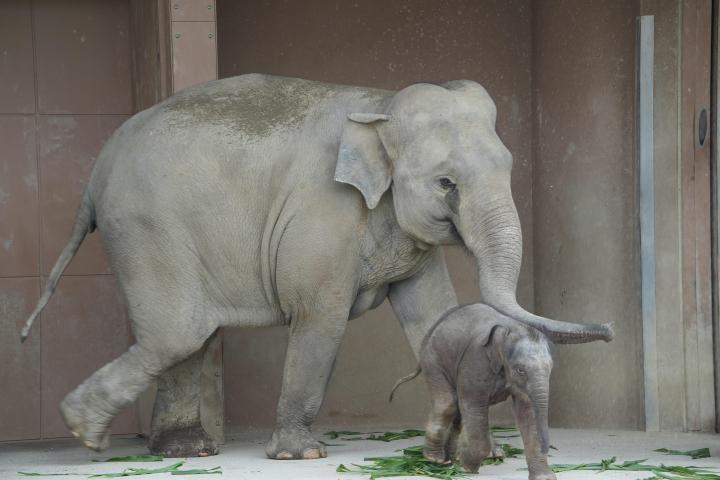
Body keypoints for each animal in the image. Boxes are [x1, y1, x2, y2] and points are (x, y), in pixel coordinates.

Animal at [390, 306, 612, 478]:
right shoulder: (476, 361)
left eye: (550, 368)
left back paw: (450, 461)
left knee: (457, 411)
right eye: (520, 370)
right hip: (434, 360)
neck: (510, 329)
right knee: (448, 404)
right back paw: (435, 460)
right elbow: (474, 405)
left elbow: (527, 412)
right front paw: (469, 466)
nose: (610, 330)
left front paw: (545, 478)